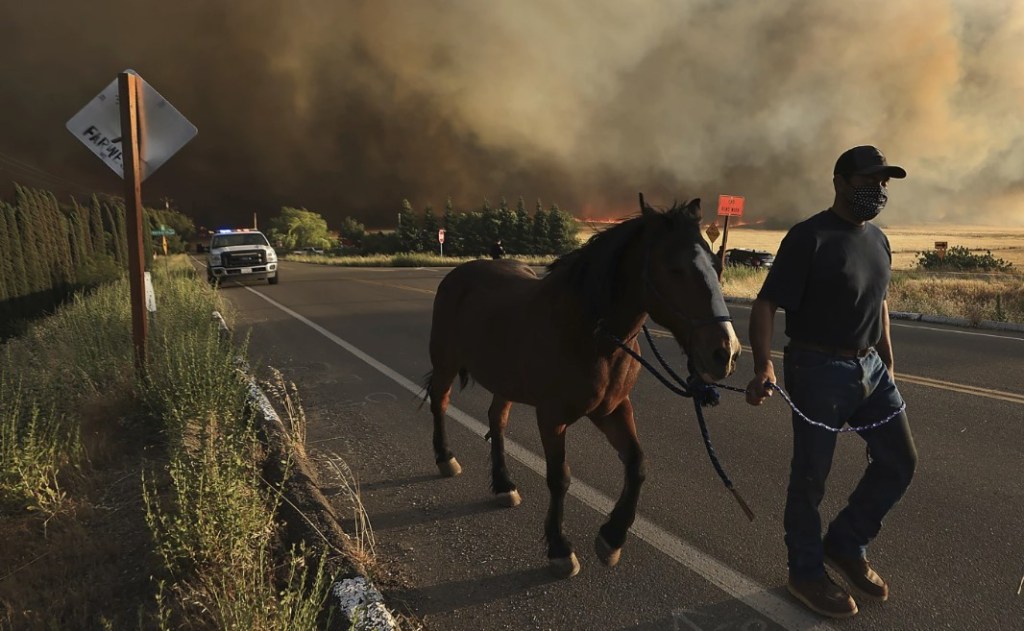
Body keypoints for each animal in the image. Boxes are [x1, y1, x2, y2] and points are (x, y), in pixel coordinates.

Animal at [421, 195, 737, 577]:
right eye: (674, 268)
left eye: (717, 265)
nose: (725, 352)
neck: (590, 333)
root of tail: (459, 274)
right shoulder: (552, 417)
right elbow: (560, 478)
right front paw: (560, 548)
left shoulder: (612, 409)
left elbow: (637, 465)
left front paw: (612, 538)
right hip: (446, 364)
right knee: (440, 403)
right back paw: (445, 458)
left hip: (505, 380)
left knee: (497, 420)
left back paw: (503, 484)